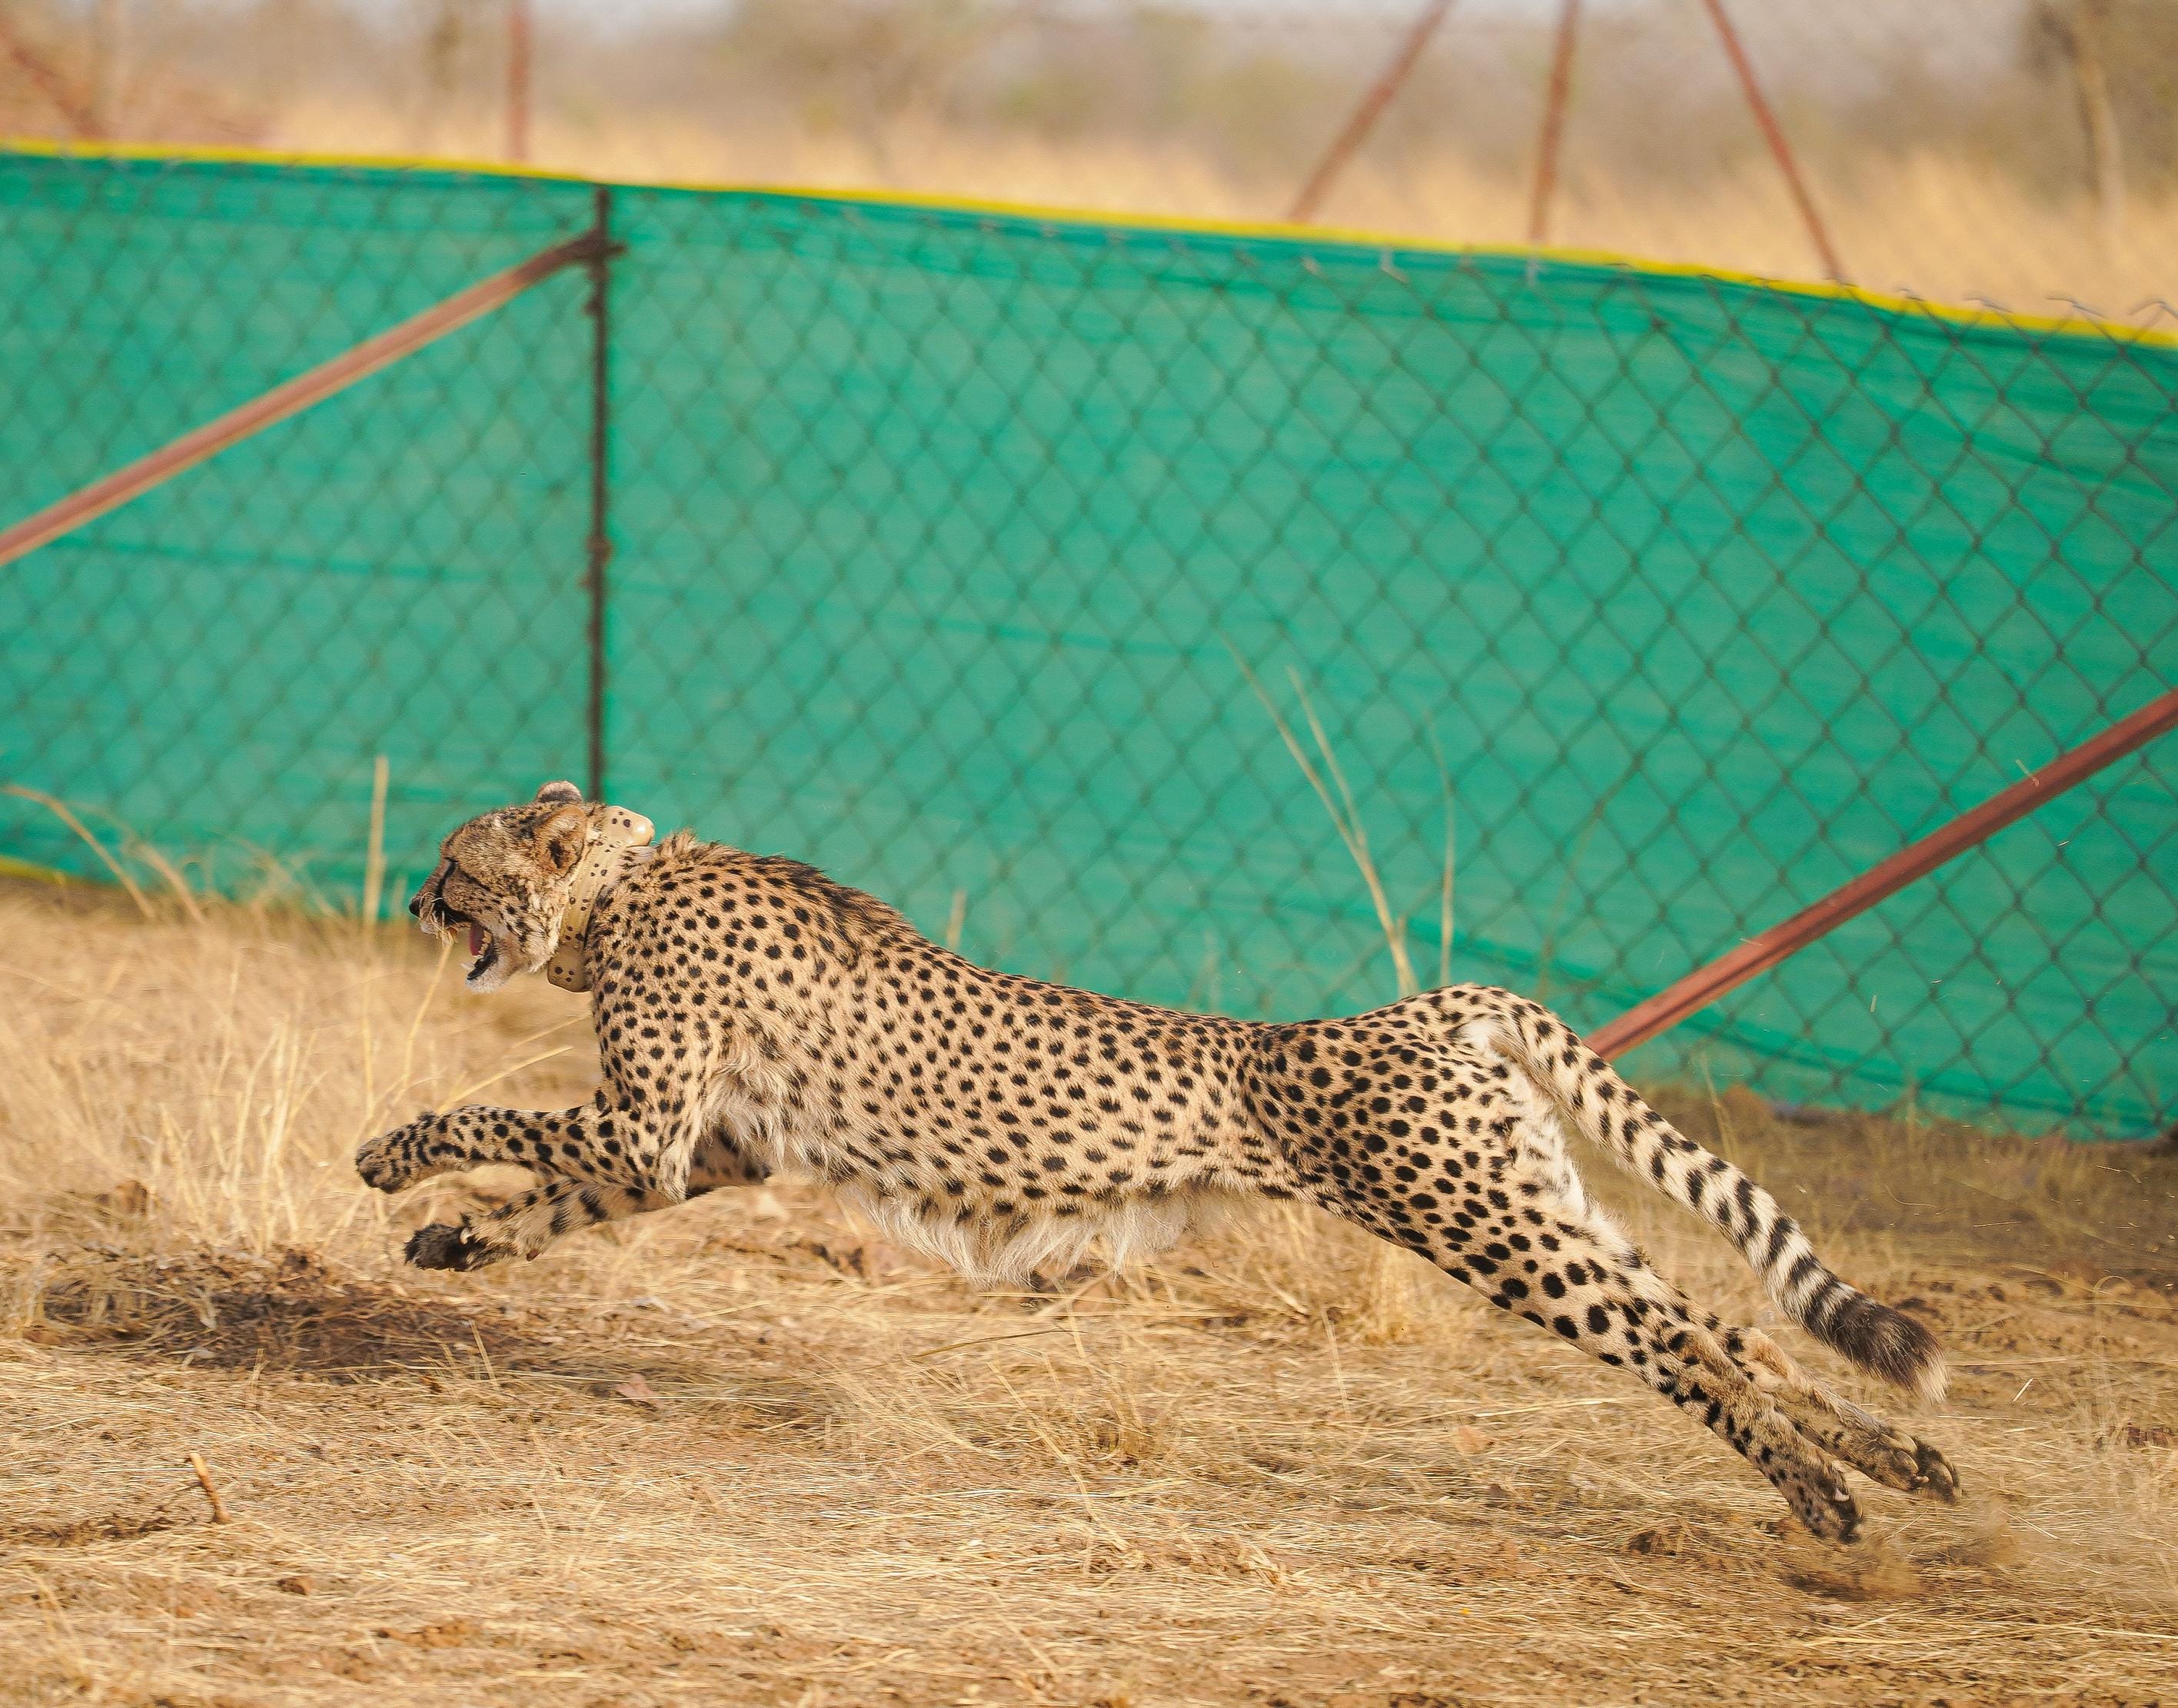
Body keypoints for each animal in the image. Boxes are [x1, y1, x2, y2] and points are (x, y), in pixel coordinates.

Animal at [356, 781, 1959, 1542]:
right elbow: (554, 1192)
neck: (626, 886)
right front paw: (458, 1242)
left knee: (1685, 1347)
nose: (416, 899)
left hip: (1482, 1226)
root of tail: (1425, 1004)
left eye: (454, 861)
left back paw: (1824, 1500)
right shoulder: (696, 1152)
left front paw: (391, 1156)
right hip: (1534, 1201)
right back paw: (1897, 1458)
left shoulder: (652, 1125)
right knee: (1737, 1329)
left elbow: (492, 1120)